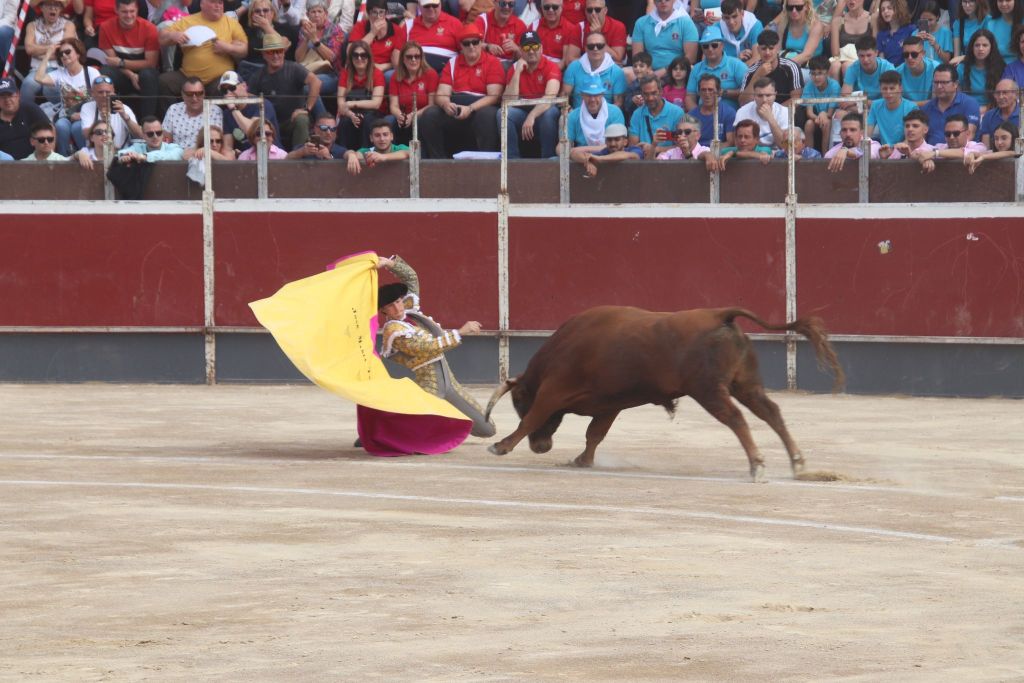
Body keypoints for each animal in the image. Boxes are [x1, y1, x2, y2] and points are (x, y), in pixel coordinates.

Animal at [483, 306, 845, 482]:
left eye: (518, 401)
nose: (541, 447)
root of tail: (720, 314)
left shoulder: (554, 390)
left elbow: (532, 420)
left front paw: (500, 446)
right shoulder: (609, 404)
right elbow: (595, 434)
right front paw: (582, 461)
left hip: (708, 390)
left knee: (736, 418)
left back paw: (757, 466)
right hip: (746, 384)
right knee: (771, 412)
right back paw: (797, 463)